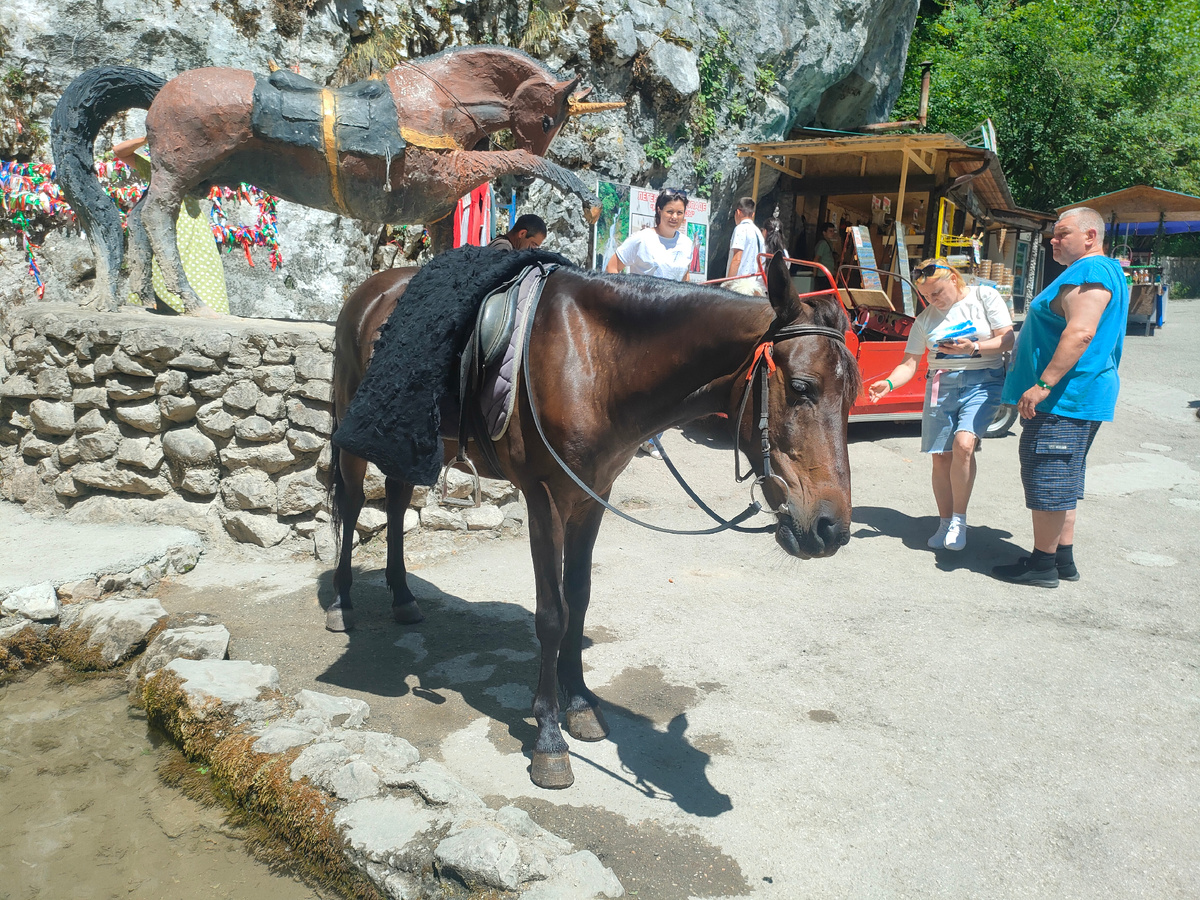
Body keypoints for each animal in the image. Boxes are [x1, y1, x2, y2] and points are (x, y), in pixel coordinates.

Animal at [50, 48, 614, 309]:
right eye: (548, 119)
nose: (519, 196)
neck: (438, 104)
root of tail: (162, 88)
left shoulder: (437, 207)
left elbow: (442, 252)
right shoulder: (445, 177)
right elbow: (511, 159)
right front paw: (582, 192)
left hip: (189, 175)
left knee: (136, 216)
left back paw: (143, 298)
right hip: (182, 170)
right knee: (155, 216)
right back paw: (189, 301)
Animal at [328, 252, 854, 787]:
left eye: (851, 396)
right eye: (802, 387)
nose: (831, 528)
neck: (595, 363)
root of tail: (370, 289)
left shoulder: (595, 496)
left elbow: (578, 599)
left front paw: (579, 703)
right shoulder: (545, 499)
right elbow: (552, 614)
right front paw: (548, 736)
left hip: (403, 440)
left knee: (395, 500)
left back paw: (402, 596)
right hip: (351, 426)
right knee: (351, 501)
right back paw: (342, 602)